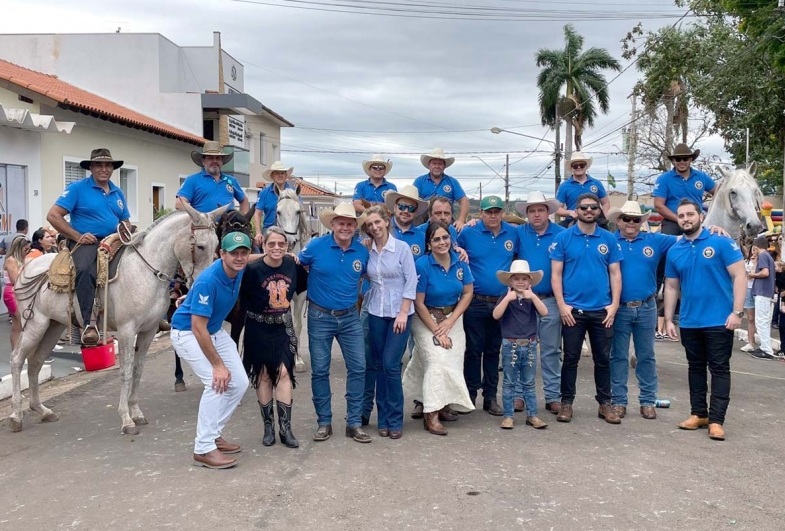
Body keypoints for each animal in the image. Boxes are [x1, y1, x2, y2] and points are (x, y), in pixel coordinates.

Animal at [8, 205, 227, 436]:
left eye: (216, 245)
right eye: (200, 246)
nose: (204, 281)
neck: (147, 271)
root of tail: (27, 269)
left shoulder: (148, 331)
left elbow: (138, 370)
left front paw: (136, 413)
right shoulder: (127, 330)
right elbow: (125, 372)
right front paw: (126, 419)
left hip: (53, 326)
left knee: (35, 362)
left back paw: (42, 410)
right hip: (35, 325)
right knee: (17, 359)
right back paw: (16, 416)